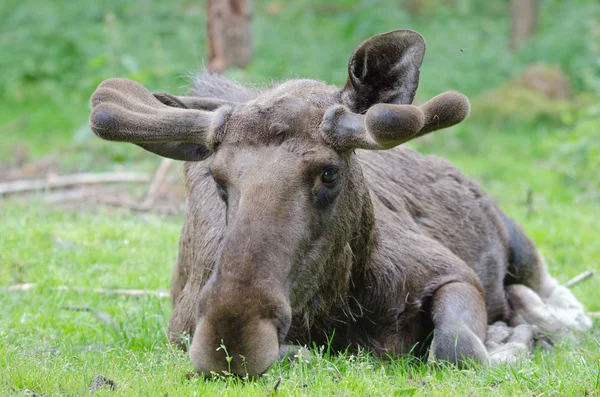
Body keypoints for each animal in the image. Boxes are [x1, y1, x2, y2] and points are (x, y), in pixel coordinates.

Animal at [89, 30, 592, 374]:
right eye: (218, 178)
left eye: (329, 172)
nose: (233, 338)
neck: (338, 306)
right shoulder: (181, 332)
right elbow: (301, 356)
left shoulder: (453, 272)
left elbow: (457, 350)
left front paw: (514, 336)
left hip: (516, 237)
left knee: (560, 295)